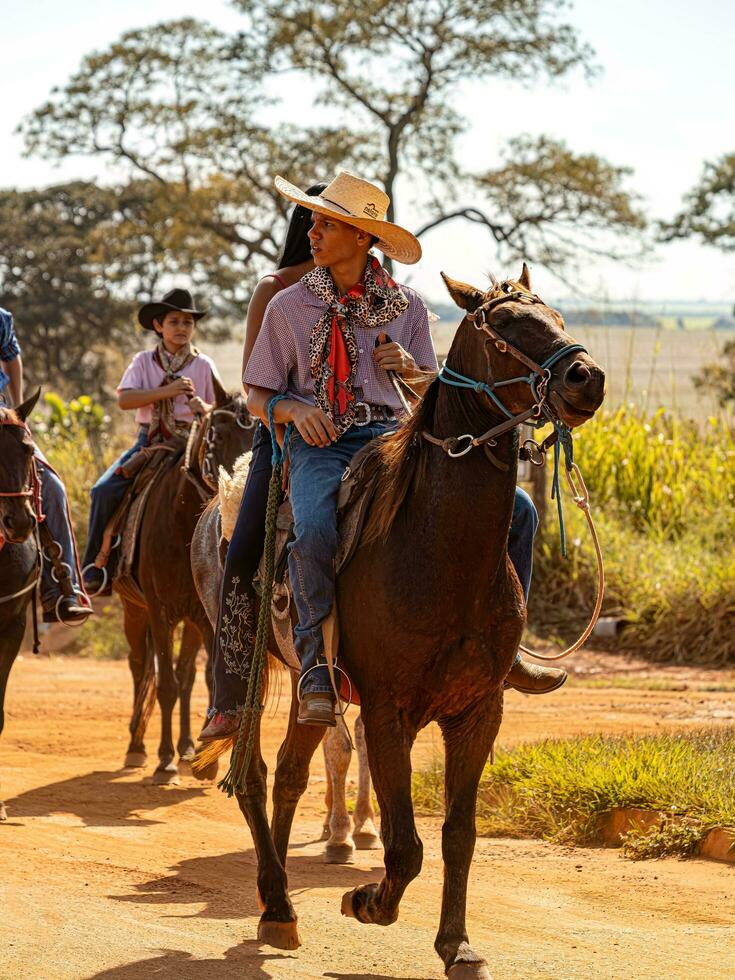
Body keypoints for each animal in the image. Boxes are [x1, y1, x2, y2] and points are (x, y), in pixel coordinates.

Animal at [118, 378, 256, 784]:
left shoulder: (202, 615)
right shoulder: (160, 611)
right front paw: (164, 759)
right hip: (134, 610)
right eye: (219, 434)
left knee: (182, 676)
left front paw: (201, 760)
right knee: (139, 666)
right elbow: (165, 685)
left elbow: (199, 680)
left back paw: (184, 749)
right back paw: (137, 746)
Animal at [229, 264, 604, 976]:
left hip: (314, 692)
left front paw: (456, 943)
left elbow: (458, 834)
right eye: (505, 328)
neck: (439, 556)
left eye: (559, 319)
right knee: (257, 776)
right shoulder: (387, 711)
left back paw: (277, 905)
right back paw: (277, 900)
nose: (586, 379)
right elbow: (406, 845)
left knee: (289, 774)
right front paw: (368, 901)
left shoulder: (479, 711)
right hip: (245, 665)